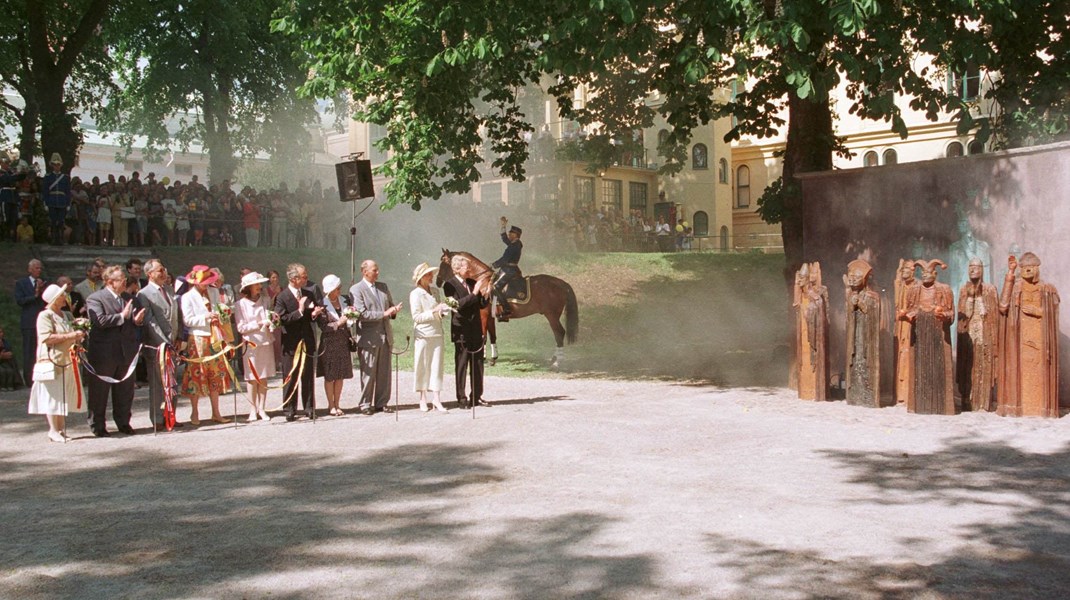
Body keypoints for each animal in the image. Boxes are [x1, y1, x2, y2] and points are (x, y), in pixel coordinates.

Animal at [438, 247, 582, 367]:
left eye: (444, 262)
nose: (438, 281)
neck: (482, 281)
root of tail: (561, 283)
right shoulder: (490, 316)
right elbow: (492, 336)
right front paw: (493, 358)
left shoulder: (483, 315)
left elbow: (483, 336)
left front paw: (482, 359)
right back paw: (554, 359)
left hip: (551, 315)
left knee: (559, 333)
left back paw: (558, 361)